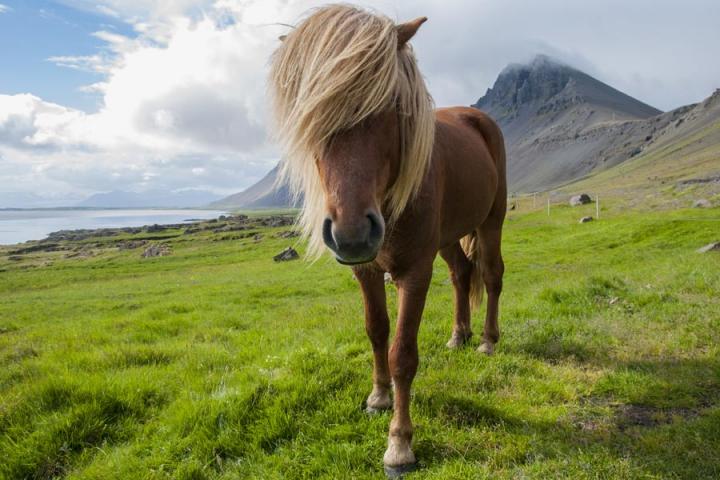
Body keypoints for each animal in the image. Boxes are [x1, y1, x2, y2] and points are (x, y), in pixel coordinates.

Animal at [269, 5, 506, 476]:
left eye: (389, 105)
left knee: (491, 276)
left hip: (491, 222)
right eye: (311, 116)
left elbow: (403, 354)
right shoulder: (365, 270)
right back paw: (459, 335)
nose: (352, 233)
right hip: (448, 238)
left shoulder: (414, 272)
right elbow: (376, 331)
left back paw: (487, 340)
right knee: (461, 274)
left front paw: (399, 445)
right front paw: (378, 397)